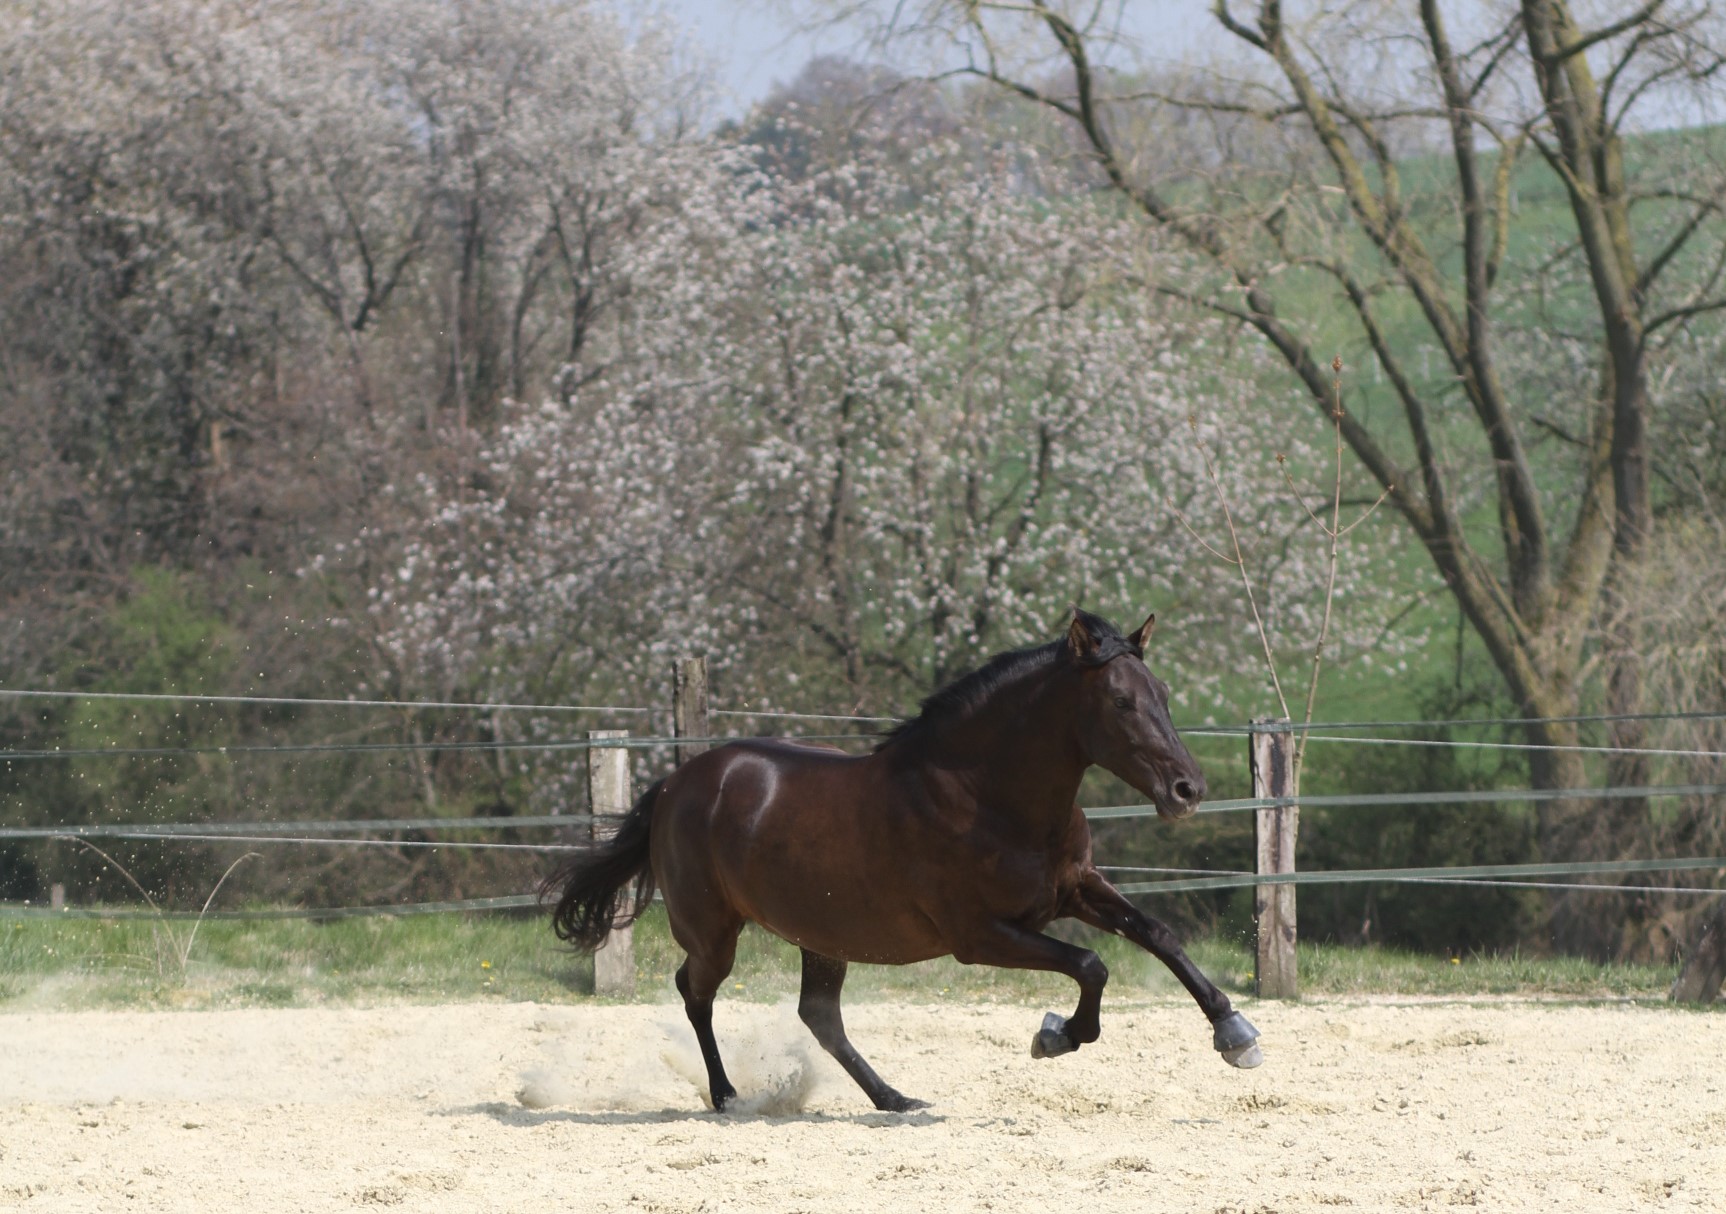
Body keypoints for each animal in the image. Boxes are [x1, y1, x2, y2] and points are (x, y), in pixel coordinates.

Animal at [545, 611, 1263, 1119]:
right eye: (1120, 702)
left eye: (1162, 692)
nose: (1188, 791)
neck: (985, 793)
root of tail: (675, 783)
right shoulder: (979, 936)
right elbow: (1091, 964)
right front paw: (1057, 1035)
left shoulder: (1074, 889)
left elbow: (1157, 935)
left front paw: (1235, 1034)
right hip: (715, 931)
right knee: (695, 992)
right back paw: (726, 1096)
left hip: (822, 935)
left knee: (819, 1016)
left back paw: (893, 1100)